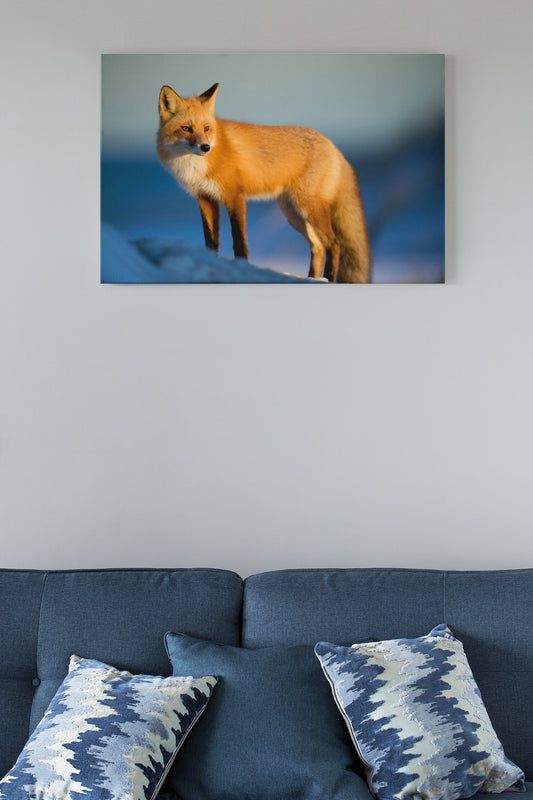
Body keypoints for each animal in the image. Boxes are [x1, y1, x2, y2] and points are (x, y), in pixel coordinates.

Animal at [157, 83, 371, 283]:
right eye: (186, 128)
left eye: (206, 128)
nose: (205, 147)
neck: (195, 165)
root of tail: (333, 146)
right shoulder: (205, 199)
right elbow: (211, 241)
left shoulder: (234, 196)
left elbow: (239, 241)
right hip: (291, 213)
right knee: (318, 246)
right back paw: (312, 279)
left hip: (308, 206)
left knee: (334, 244)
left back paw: (328, 279)